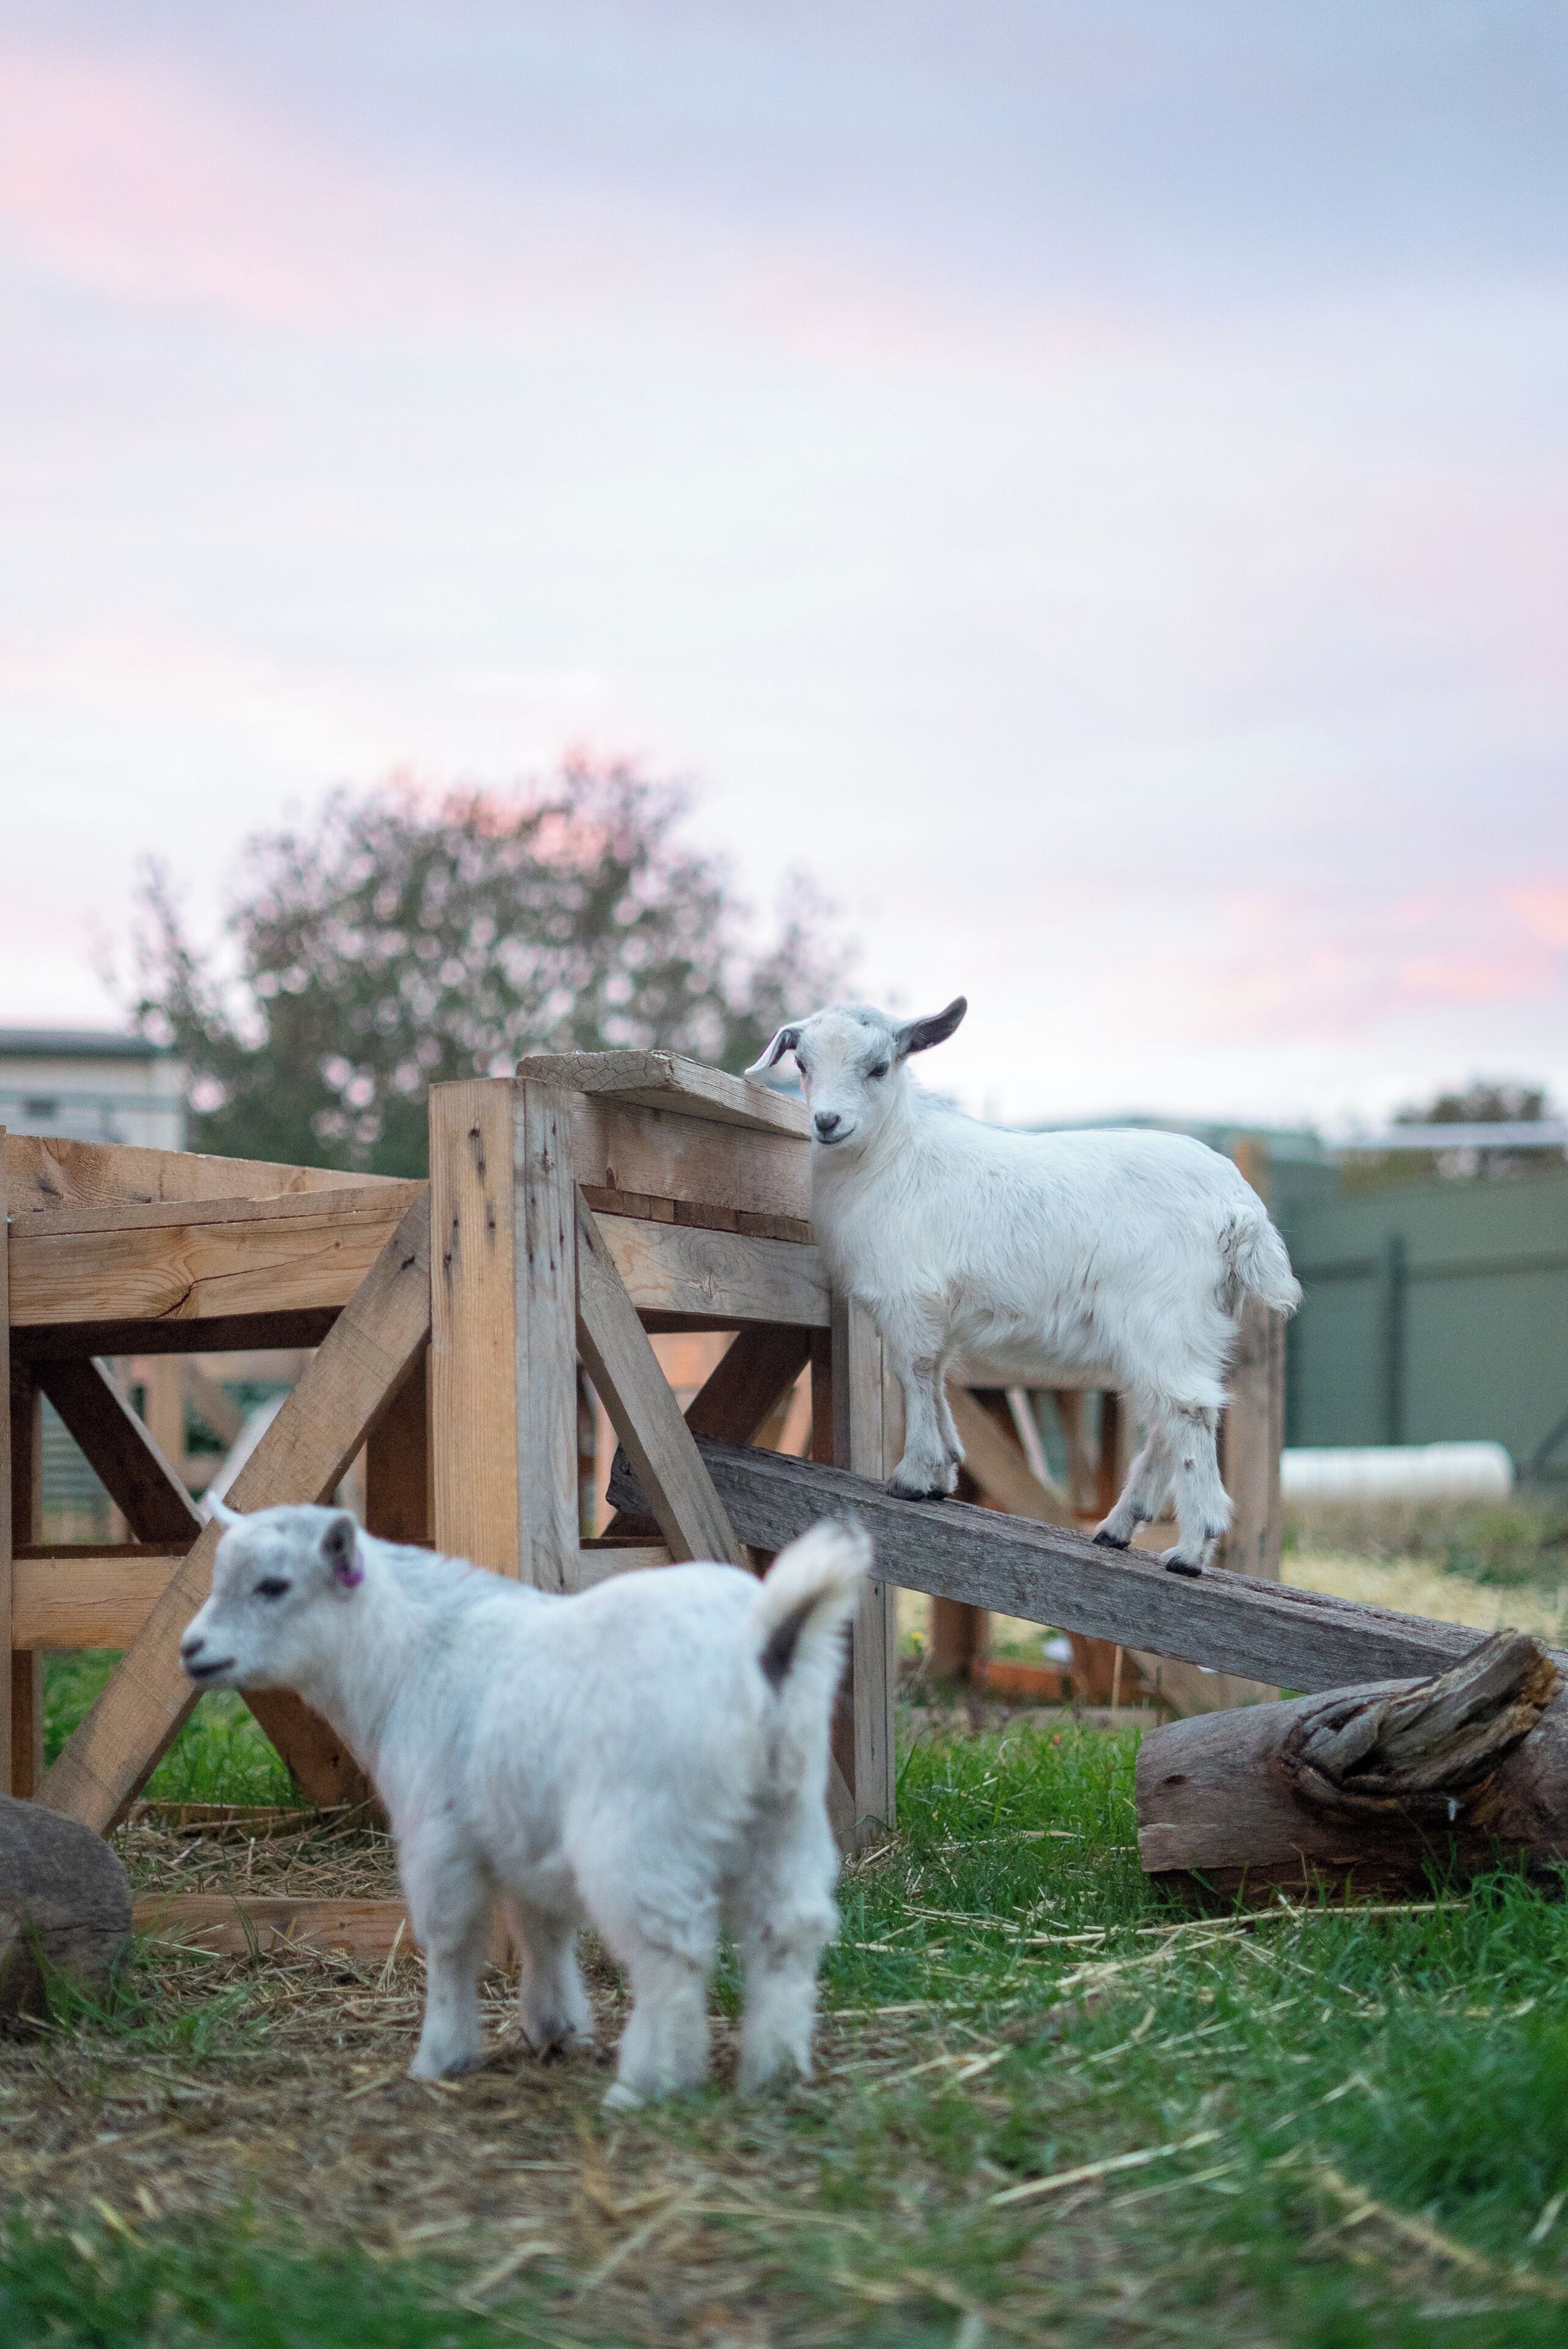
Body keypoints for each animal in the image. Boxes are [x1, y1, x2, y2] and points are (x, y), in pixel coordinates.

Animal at [181, 1505, 868, 2105]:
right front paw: (554, 2026)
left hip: (640, 1829)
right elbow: (542, 1926)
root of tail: (766, 1642)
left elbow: (453, 1944)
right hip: (788, 1813)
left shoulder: (438, 1834)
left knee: (672, 1952)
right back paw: (773, 2071)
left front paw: (442, 2054)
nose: (191, 1649)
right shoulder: (519, 1831)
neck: (410, 1657)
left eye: (274, 1585)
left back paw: (646, 2083)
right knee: (790, 1930)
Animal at [747, 998, 1301, 1574]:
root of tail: (1240, 1208)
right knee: (1167, 1416)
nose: (827, 1122)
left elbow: (915, 1373)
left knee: (1189, 1410)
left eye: (879, 1067)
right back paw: (1119, 1526)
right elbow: (937, 1374)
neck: (892, 1154)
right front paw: (945, 1469)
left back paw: (1190, 1550)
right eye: (803, 1064)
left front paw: (914, 1475)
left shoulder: (908, 1298)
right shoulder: (933, 1309)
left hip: (1164, 1315)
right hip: (1186, 1326)